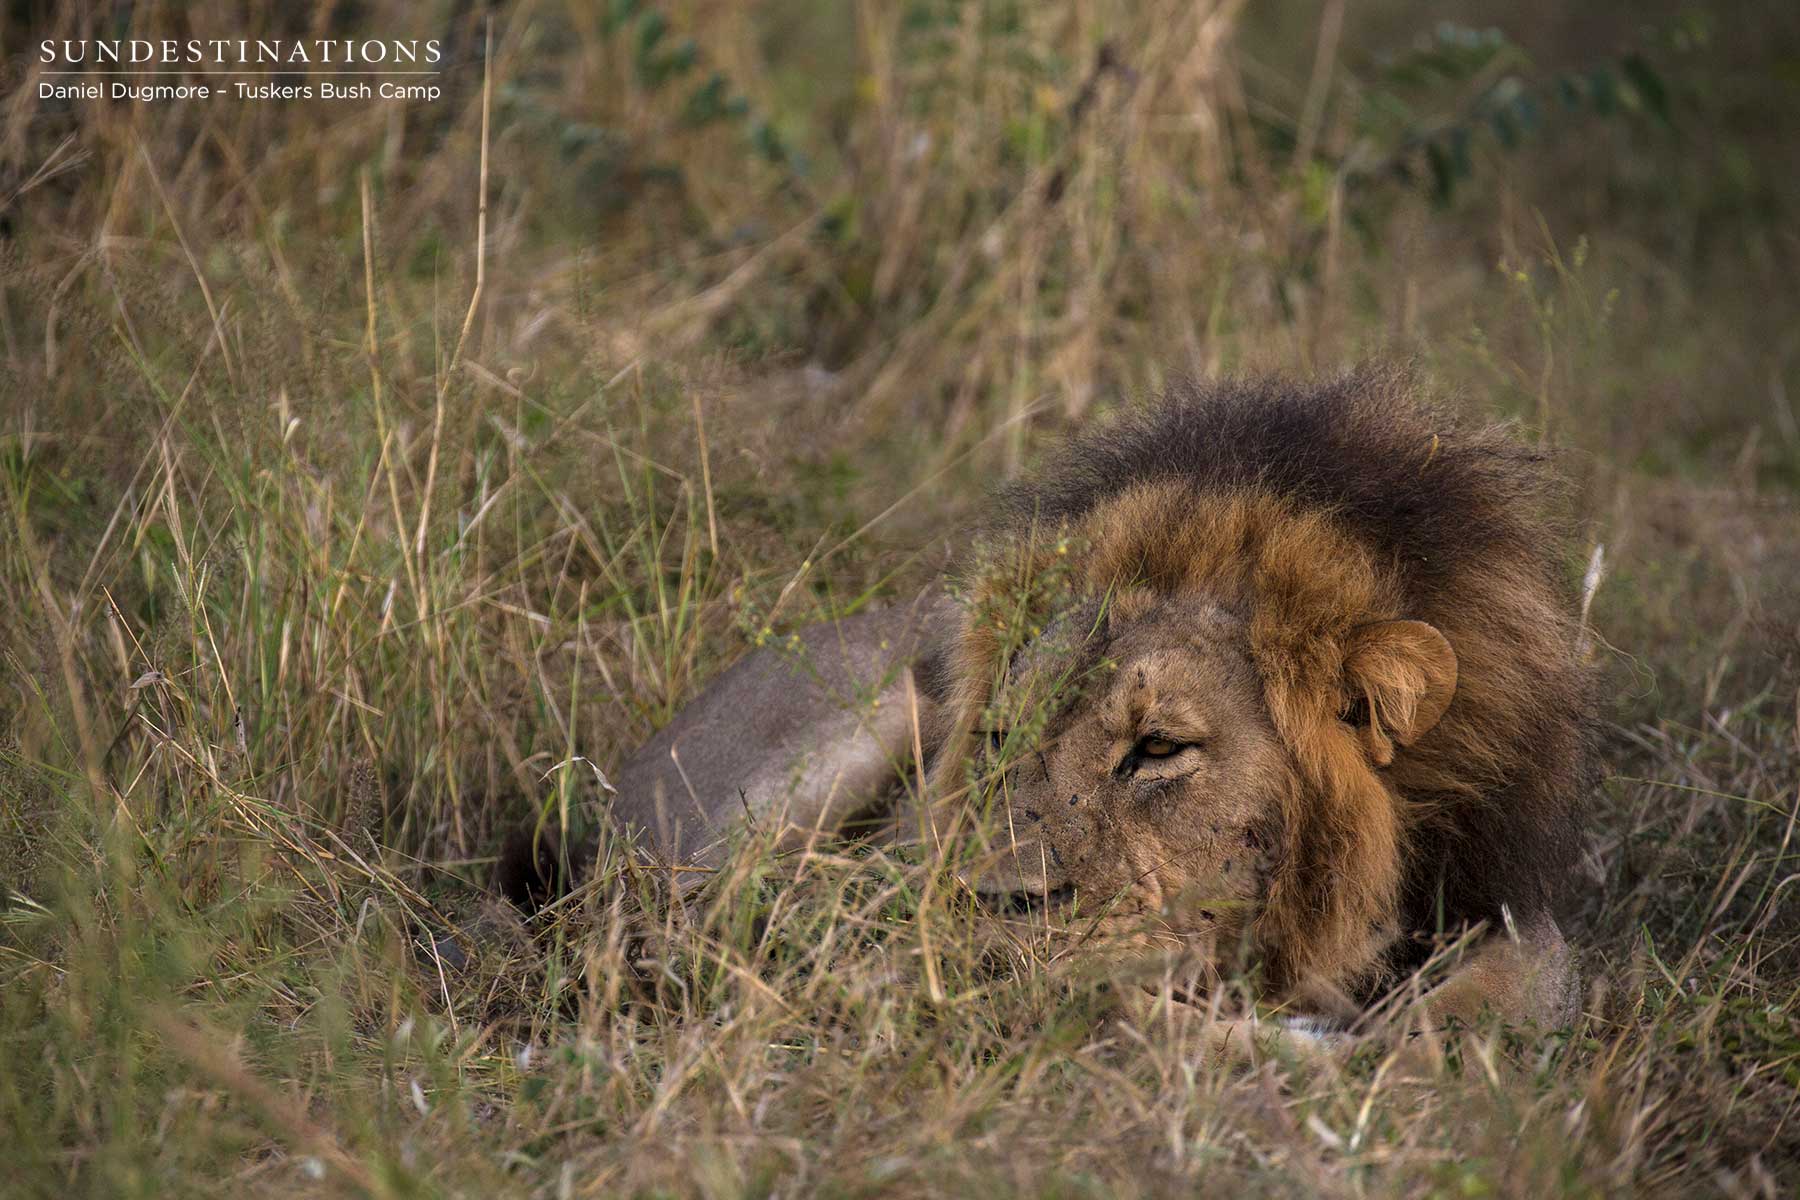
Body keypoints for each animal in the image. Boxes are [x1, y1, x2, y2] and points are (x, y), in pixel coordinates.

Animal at [505, 367, 1596, 1049]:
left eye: (1158, 748)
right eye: (999, 738)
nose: (992, 905)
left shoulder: (1493, 898)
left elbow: (1527, 984)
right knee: (675, 922)